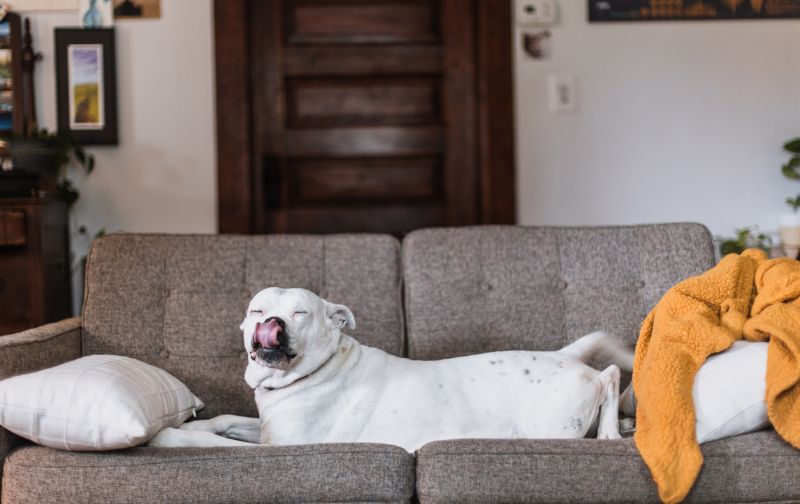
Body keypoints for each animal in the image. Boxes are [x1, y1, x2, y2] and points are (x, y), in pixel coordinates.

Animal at [150, 288, 636, 448]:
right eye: (257, 309)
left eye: (301, 313)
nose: (272, 324)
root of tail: (566, 354)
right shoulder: (267, 426)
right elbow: (226, 421)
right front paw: (195, 423)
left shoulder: (279, 447)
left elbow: (216, 444)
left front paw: (170, 436)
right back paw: (625, 425)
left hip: (551, 421)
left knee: (610, 377)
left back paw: (612, 430)